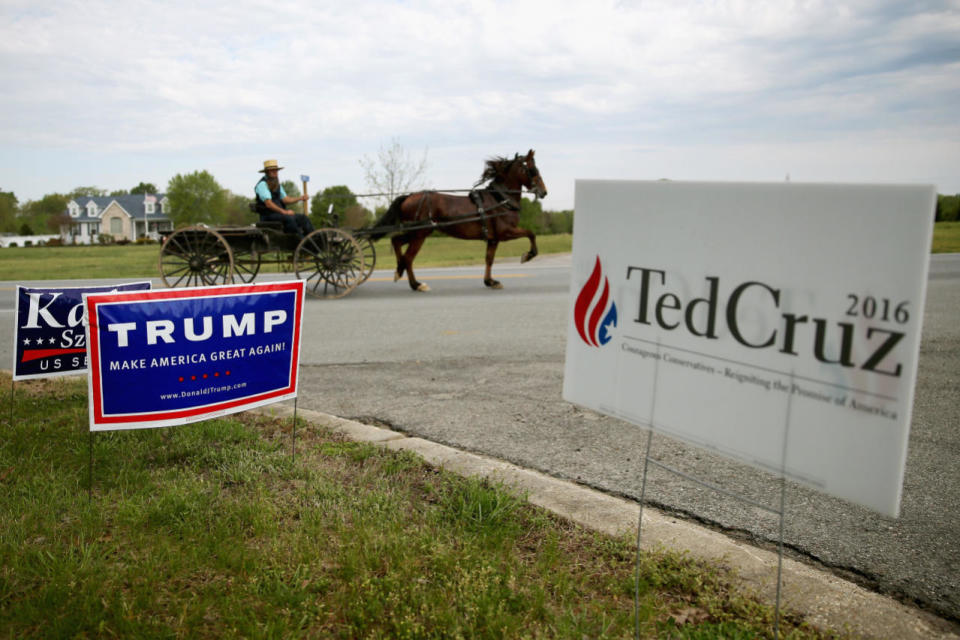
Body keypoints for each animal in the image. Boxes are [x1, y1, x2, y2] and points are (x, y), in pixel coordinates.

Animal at [368, 149, 548, 292]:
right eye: (533, 170)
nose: (544, 192)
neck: (500, 200)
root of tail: (409, 196)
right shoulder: (506, 232)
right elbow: (531, 234)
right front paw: (528, 255)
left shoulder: (493, 239)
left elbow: (489, 259)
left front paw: (490, 281)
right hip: (420, 234)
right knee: (408, 257)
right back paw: (416, 284)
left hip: (417, 232)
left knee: (396, 241)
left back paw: (399, 271)